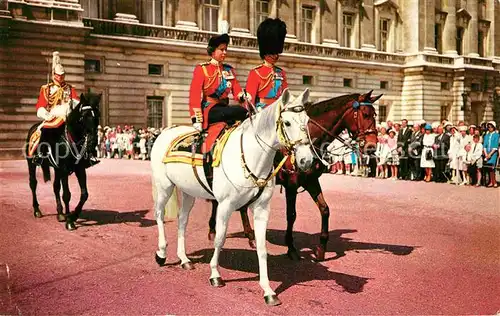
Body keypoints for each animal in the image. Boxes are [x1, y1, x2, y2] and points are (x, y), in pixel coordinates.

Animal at [25, 91, 101, 230]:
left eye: (97, 115)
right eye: (84, 116)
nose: (93, 142)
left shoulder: (79, 169)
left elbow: (84, 194)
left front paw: (74, 215)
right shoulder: (64, 169)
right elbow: (67, 194)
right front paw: (70, 221)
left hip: (56, 169)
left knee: (55, 187)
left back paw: (60, 214)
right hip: (31, 164)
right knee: (33, 184)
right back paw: (37, 210)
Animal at [149, 87, 312, 304]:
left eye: (307, 120)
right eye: (287, 123)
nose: (306, 160)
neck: (252, 157)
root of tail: (166, 131)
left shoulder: (261, 209)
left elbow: (262, 248)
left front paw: (268, 290)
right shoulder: (225, 205)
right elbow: (220, 238)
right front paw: (215, 274)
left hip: (188, 191)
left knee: (182, 220)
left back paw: (184, 259)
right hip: (164, 186)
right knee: (159, 214)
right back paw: (161, 253)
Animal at [207, 90, 378, 260]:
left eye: (375, 114)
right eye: (365, 114)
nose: (372, 147)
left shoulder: (311, 181)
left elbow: (325, 210)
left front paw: (321, 248)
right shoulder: (292, 184)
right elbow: (292, 215)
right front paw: (291, 247)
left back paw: (249, 236)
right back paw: (214, 230)